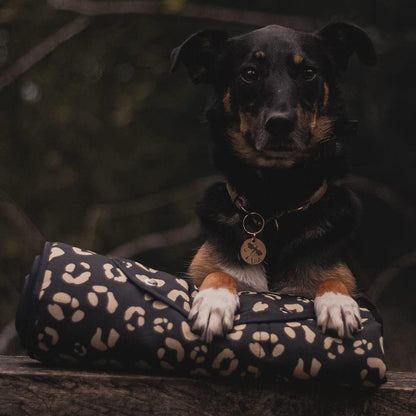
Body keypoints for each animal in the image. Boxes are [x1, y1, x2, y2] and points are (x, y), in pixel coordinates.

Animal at [171, 22, 376, 342]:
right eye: (249, 73)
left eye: (308, 72)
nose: (280, 123)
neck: (275, 201)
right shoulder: (201, 268)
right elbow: (219, 272)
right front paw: (215, 301)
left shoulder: (346, 279)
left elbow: (334, 280)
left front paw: (338, 302)